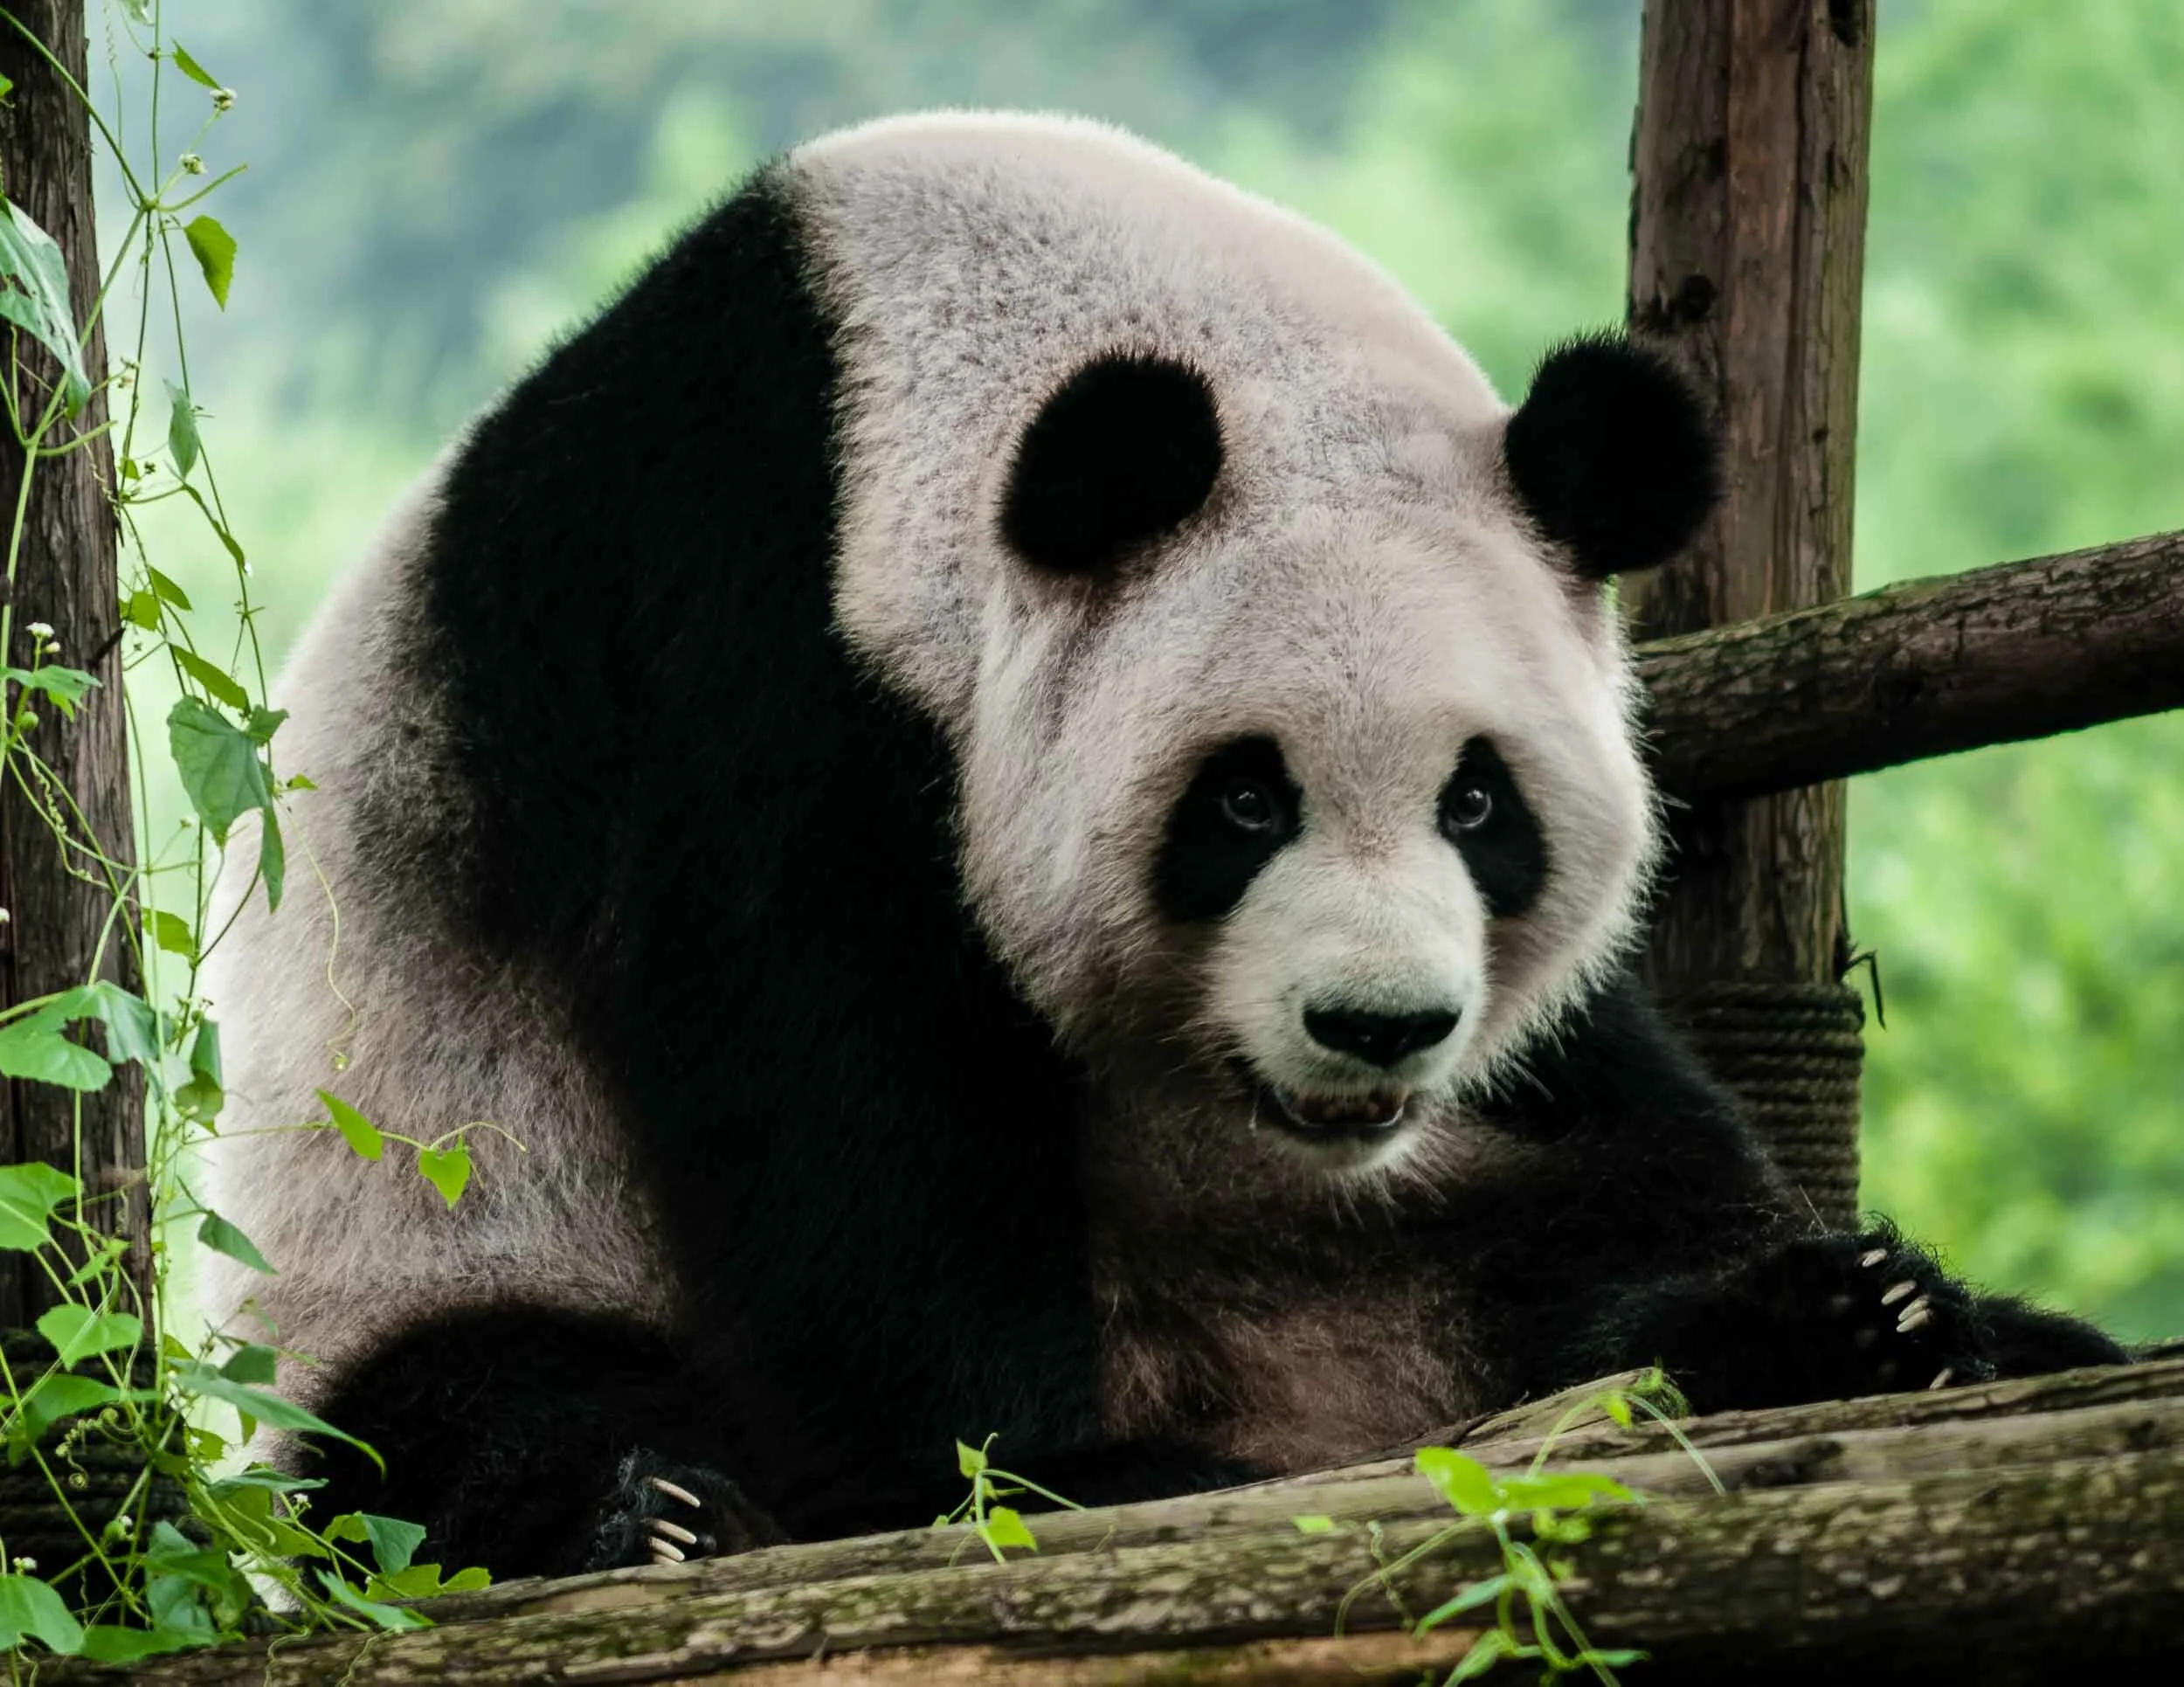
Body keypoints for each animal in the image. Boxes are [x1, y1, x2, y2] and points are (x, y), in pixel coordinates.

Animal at [199, 112, 2125, 1580]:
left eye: (1478, 801)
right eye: (1244, 800)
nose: (1377, 1030)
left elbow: (1625, 1129)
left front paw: (1866, 1302)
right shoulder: (750, 669)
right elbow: (841, 1123)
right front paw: (1065, 1473)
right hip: (424, 1201)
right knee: (472, 1406)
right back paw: (644, 1505)